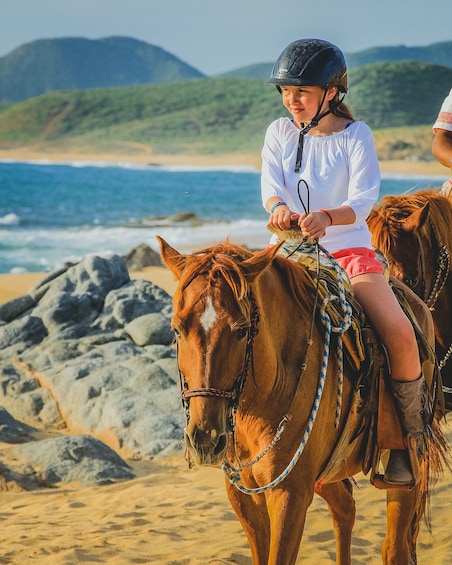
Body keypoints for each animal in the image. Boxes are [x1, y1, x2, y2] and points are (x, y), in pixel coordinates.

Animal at [157, 236, 446, 564]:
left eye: (242, 330)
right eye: (177, 329)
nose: (205, 439)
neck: (259, 403)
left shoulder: (289, 494)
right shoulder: (244, 496)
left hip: (407, 468)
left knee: (394, 546)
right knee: (345, 509)